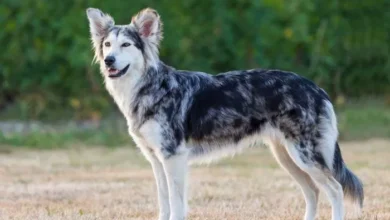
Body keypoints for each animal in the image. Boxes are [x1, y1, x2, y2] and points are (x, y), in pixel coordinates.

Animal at [87, 6, 364, 220]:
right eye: (108, 45)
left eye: (126, 45)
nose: (109, 60)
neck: (152, 87)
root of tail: (316, 88)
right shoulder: (156, 160)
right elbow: (164, 204)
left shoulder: (173, 158)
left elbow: (176, 206)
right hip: (287, 157)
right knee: (313, 192)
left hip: (304, 156)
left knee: (335, 189)